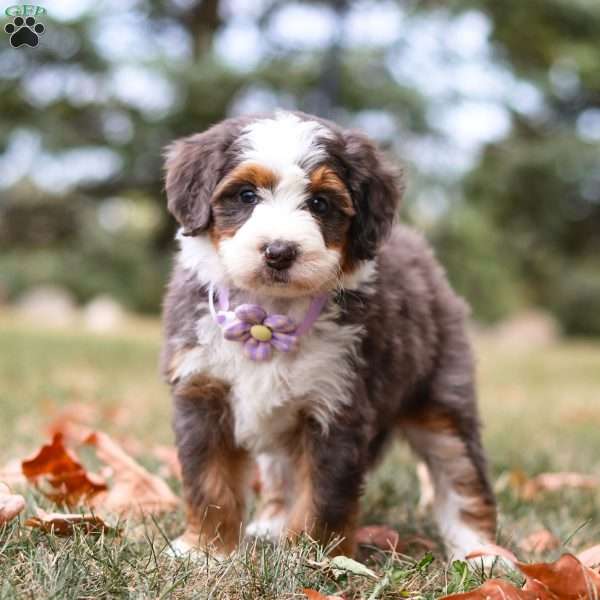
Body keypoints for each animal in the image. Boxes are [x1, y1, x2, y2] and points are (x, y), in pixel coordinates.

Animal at [161, 110, 496, 560]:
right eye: (247, 196)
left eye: (319, 203)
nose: (279, 251)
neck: (268, 318)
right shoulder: (202, 392)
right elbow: (210, 481)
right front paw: (207, 551)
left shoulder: (336, 405)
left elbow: (323, 493)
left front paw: (311, 557)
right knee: (280, 473)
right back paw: (270, 524)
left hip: (443, 397)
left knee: (462, 476)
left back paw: (482, 555)